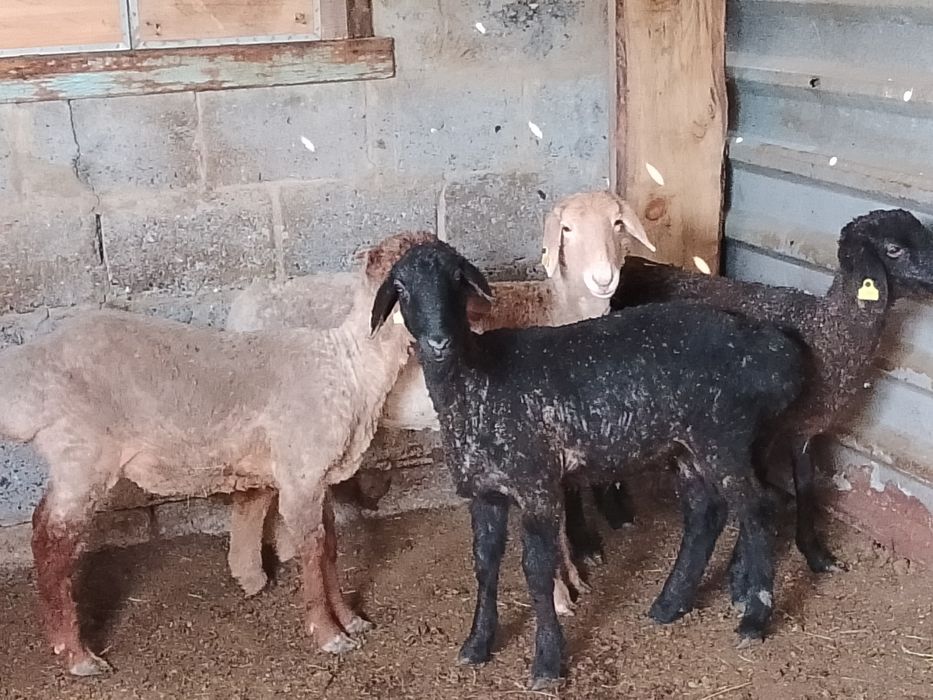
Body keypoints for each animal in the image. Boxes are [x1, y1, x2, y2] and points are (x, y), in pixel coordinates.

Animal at [0, 231, 432, 676]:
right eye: (406, 280)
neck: (349, 364)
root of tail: (23, 378)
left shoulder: (317, 473)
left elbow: (327, 546)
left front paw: (350, 619)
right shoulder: (301, 472)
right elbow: (312, 552)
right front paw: (328, 635)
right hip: (82, 454)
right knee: (51, 540)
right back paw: (77, 655)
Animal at [225, 191, 656, 606]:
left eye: (618, 224)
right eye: (567, 229)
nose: (603, 278)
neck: (555, 309)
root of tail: (246, 304)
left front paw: (573, 578)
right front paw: (561, 594)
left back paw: (257, 569)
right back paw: (257, 571)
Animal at [370, 240, 806, 688]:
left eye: (457, 280)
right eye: (400, 288)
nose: (439, 342)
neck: (477, 382)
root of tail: (773, 348)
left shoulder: (538, 485)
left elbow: (537, 571)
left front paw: (547, 661)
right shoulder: (485, 492)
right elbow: (485, 564)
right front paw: (477, 644)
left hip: (724, 438)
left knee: (759, 509)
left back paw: (754, 618)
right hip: (689, 446)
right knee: (707, 514)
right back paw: (670, 603)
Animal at [613, 208, 933, 581]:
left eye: (926, 236)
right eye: (894, 249)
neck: (823, 334)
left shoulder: (804, 428)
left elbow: (806, 485)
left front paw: (816, 554)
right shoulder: (760, 433)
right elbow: (762, 487)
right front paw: (743, 565)